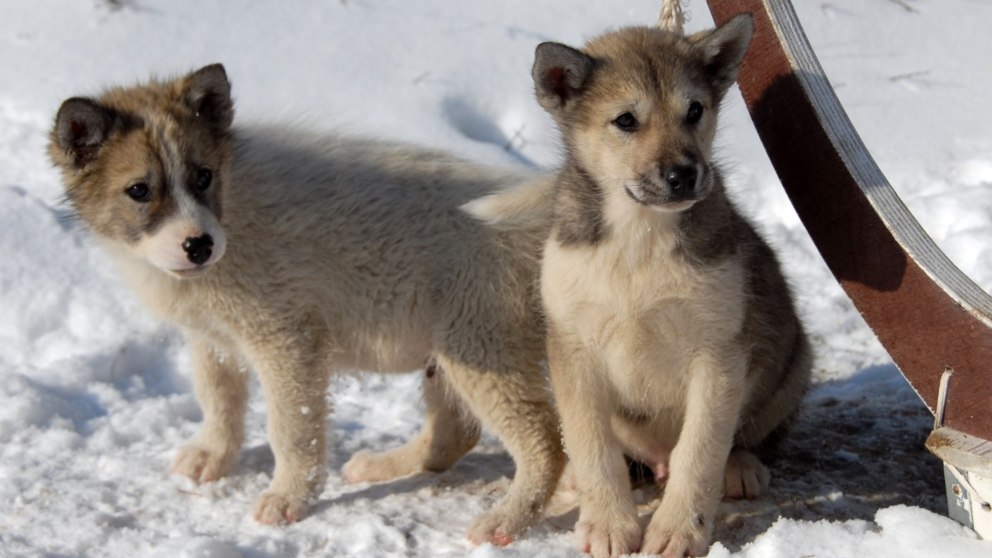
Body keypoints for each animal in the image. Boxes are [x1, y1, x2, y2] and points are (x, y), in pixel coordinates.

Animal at [46, 64, 564, 548]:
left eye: (202, 177)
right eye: (139, 190)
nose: (199, 245)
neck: (233, 211)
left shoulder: (286, 341)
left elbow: (291, 430)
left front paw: (288, 498)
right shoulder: (213, 338)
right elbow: (218, 400)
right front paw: (212, 456)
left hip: (481, 348)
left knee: (544, 444)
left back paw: (507, 520)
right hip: (452, 350)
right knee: (455, 434)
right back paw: (382, 466)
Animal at [532, 15, 808, 556]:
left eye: (695, 110)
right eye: (625, 121)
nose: (684, 174)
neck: (638, 241)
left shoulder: (718, 355)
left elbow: (699, 452)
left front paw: (680, 530)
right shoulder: (573, 351)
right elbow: (595, 446)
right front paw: (609, 524)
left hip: (793, 365)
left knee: (748, 439)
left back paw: (741, 467)